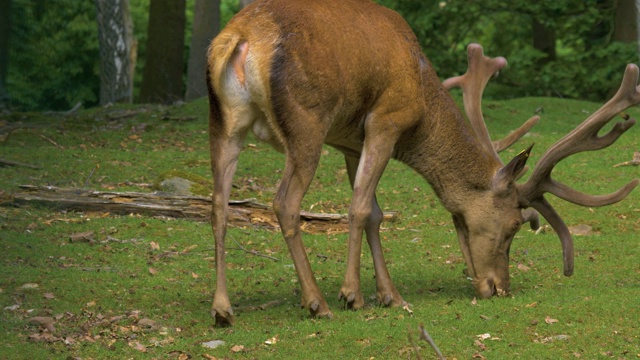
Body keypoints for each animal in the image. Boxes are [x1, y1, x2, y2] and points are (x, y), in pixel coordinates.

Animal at [206, 0, 640, 326]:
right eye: (514, 225)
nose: (500, 288)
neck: (423, 104)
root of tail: (241, 37)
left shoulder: (350, 143)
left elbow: (375, 213)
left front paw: (390, 295)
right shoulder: (387, 119)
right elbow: (360, 208)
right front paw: (353, 294)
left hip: (225, 123)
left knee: (218, 204)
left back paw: (223, 309)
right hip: (306, 122)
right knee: (284, 202)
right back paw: (317, 302)